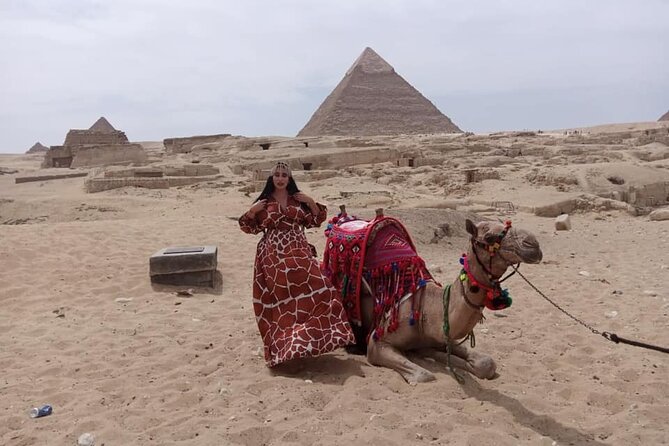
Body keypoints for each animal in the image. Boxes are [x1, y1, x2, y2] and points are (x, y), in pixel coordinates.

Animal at [325, 211, 543, 384]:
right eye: (489, 237)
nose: (533, 245)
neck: (426, 307)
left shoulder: (441, 333)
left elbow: (486, 363)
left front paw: (433, 354)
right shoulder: (377, 342)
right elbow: (424, 375)